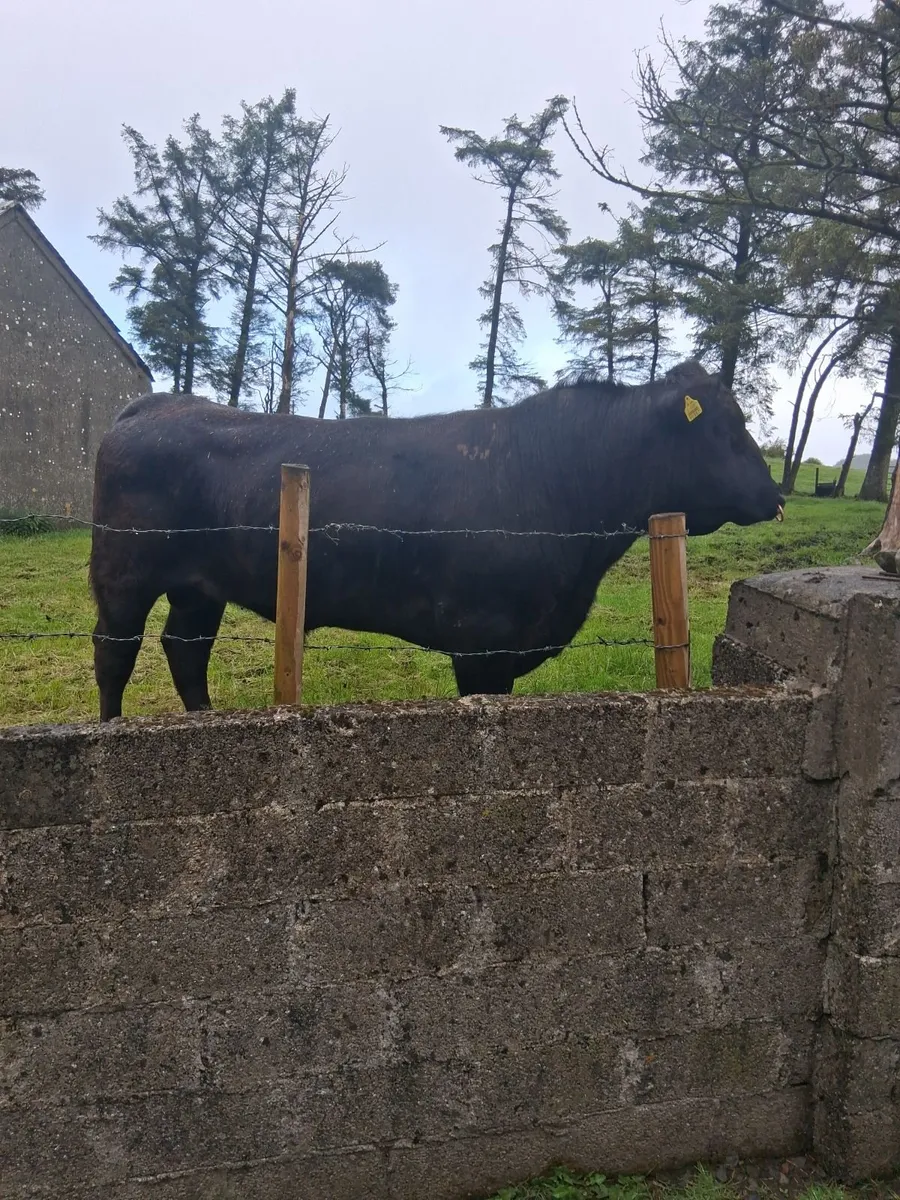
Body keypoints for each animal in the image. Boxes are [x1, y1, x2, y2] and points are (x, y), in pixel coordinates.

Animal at [89, 360, 784, 720]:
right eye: (724, 429)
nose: (776, 495)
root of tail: (155, 405)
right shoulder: (481, 640)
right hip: (124, 570)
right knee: (115, 651)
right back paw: (111, 729)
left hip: (198, 585)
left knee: (185, 650)